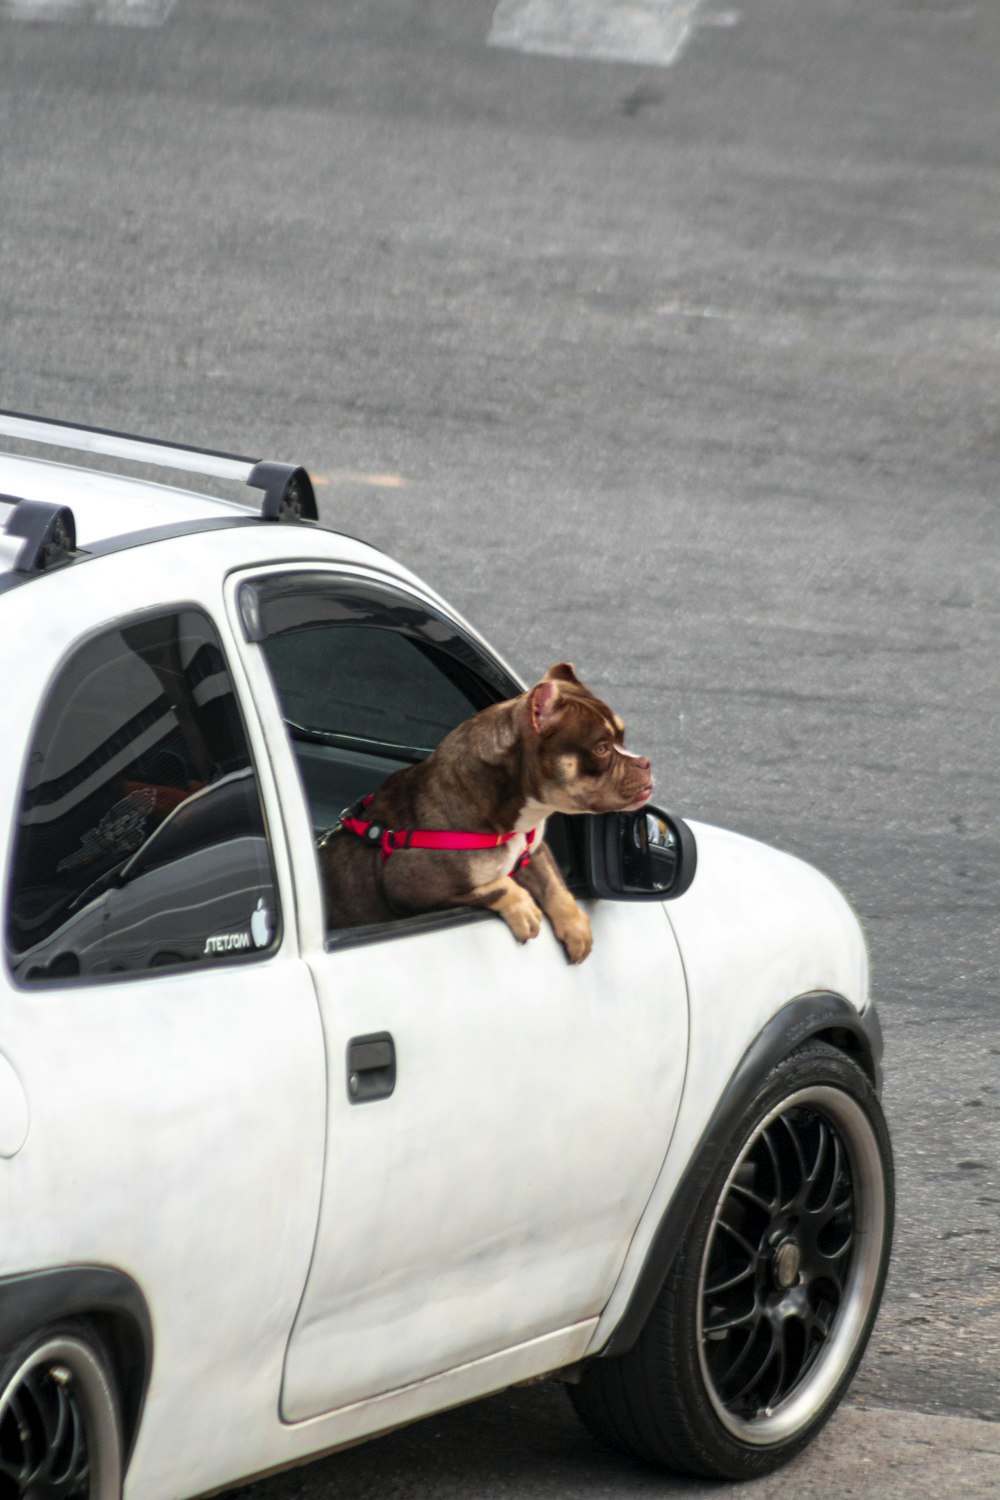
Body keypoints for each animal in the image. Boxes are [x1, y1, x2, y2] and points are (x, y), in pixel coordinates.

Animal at [316, 666, 653, 966]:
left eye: (622, 738)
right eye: (601, 749)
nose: (645, 762)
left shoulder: (534, 849)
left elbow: (554, 884)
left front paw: (576, 927)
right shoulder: (411, 889)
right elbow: (497, 885)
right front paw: (524, 909)